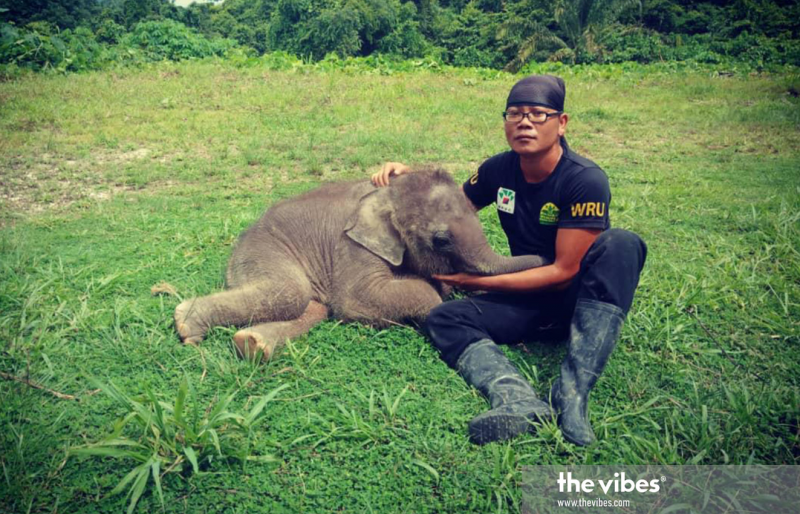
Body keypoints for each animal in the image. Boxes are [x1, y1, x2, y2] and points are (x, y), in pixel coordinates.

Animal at [174, 168, 549, 361]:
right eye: (441, 240)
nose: (549, 256)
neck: (388, 194)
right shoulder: (352, 245)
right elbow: (355, 300)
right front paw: (434, 307)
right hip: (260, 248)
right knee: (291, 292)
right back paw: (185, 325)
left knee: (313, 306)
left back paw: (250, 344)